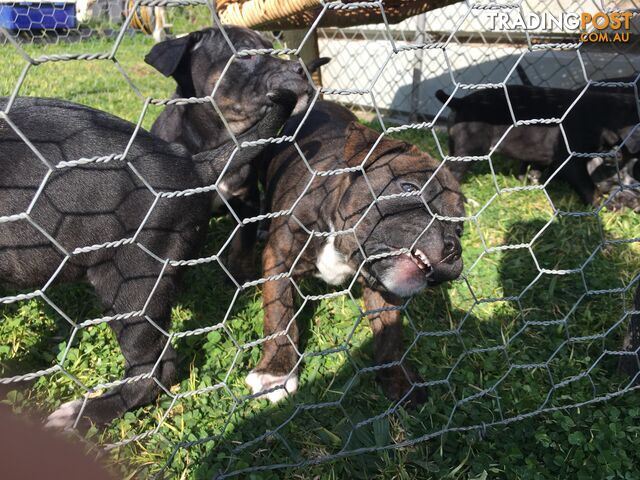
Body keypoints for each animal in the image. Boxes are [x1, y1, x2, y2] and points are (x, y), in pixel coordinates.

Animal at [147, 27, 330, 282]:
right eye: (245, 54)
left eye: (271, 48)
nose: (299, 68)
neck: (222, 141)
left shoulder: (247, 199)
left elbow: (243, 242)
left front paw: (240, 276)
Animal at [246, 102, 464, 408]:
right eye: (409, 188)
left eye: (460, 228)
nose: (453, 246)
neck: (342, 242)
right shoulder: (279, 261)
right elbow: (280, 314)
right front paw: (276, 372)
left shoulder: (384, 288)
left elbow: (390, 333)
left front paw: (398, 377)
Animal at [436, 85, 640, 209]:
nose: (635, 193)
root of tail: (460, 101)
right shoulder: (571, 161)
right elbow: (589, 188)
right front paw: (603, 207)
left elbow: (531, 171)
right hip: (469, 152)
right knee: (451, 176)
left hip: (455, 148)